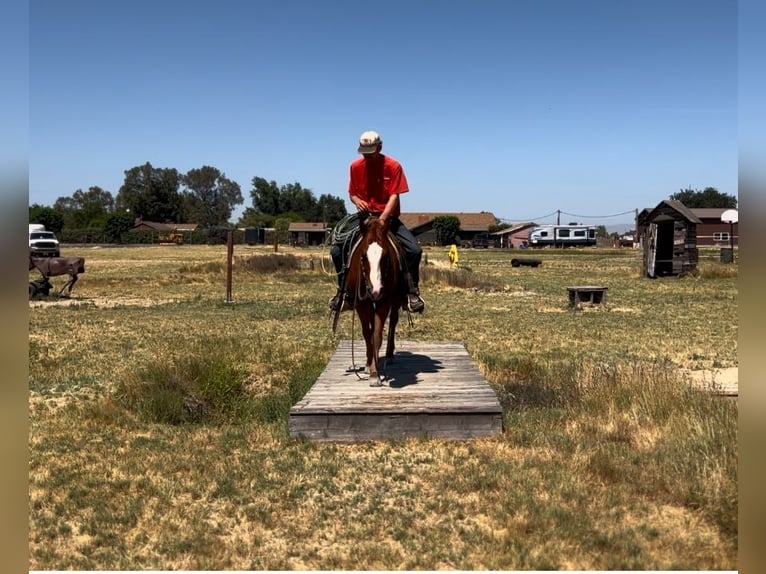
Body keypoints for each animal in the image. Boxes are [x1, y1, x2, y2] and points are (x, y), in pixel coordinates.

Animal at [343, 215, 407, 387]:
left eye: (385, 256)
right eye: (363, 256)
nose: (375, 291)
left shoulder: (384, 302)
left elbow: (377, 335)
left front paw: (375, 373)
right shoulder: (361, 304)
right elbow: (367, 334)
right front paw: (369, 366)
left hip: (394, 301)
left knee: (393, 322)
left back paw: (389, 356)